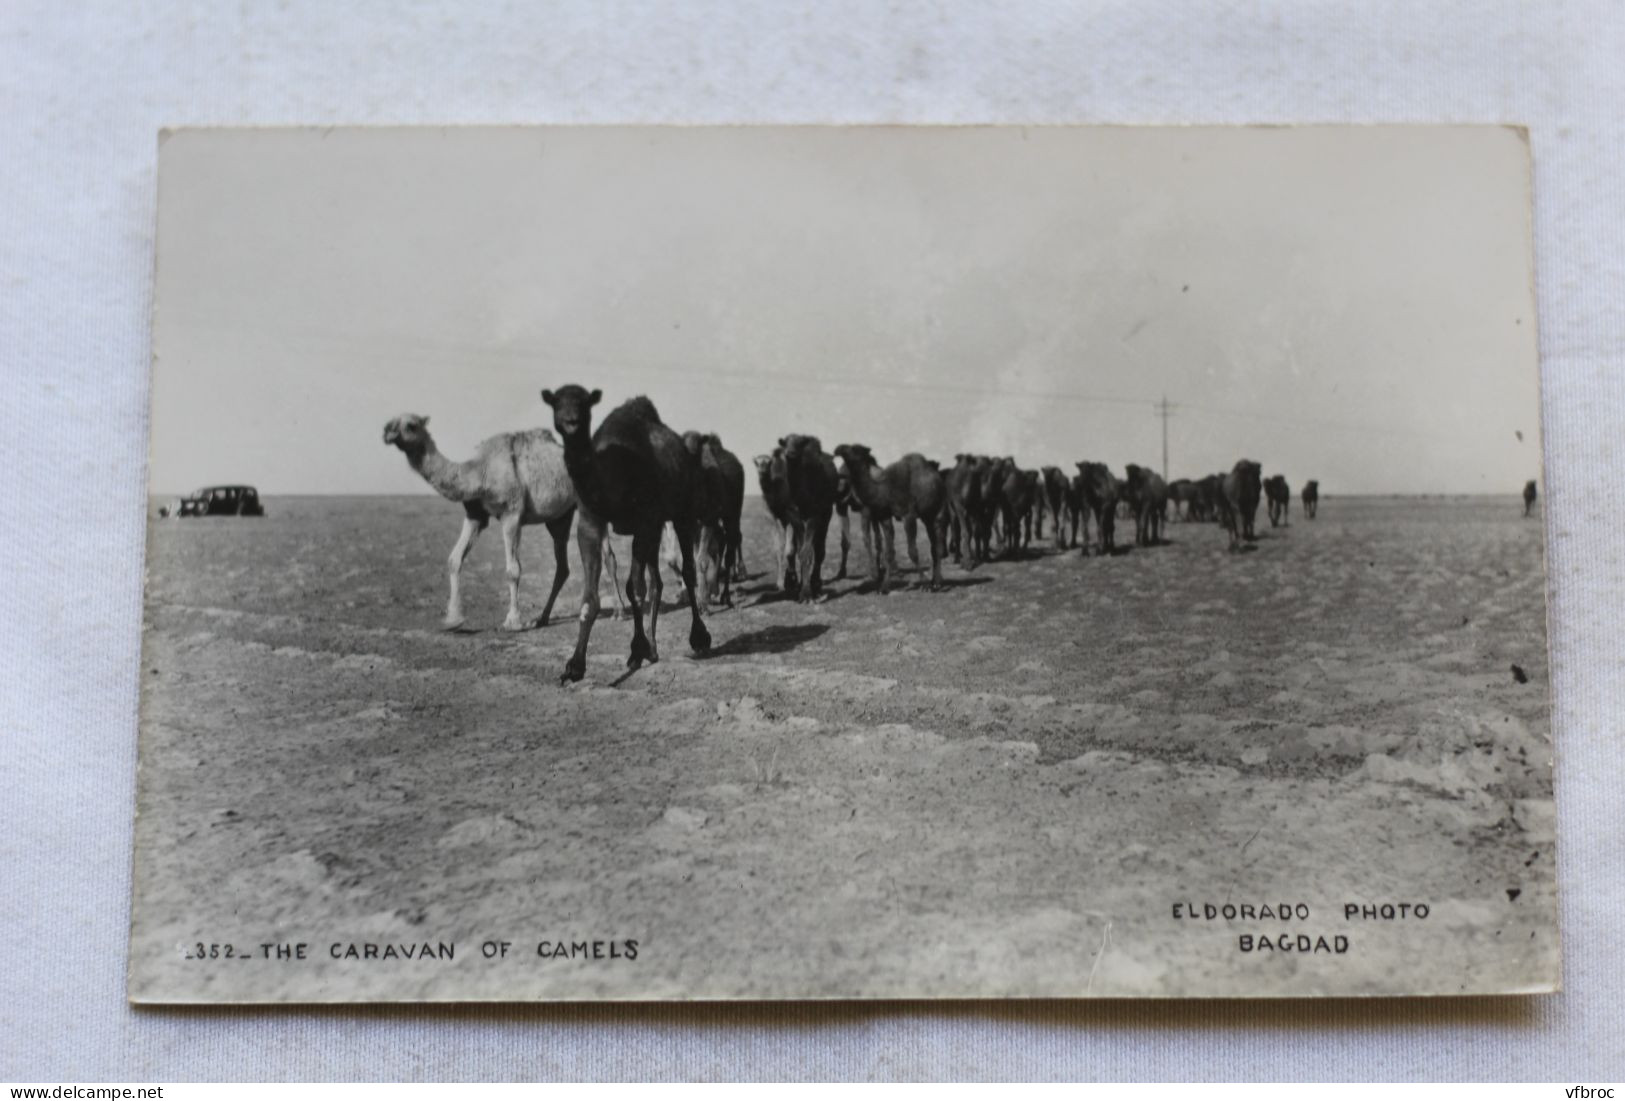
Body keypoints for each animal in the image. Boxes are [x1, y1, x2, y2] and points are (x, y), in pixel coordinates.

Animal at [383, 413, 613, 632]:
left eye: (411, 425)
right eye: (392, 420)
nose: (387, 432)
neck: (479, 472)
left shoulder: (511, 513)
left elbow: (513, 570)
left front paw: (513, 621)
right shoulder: (475, 515)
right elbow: (454, 559)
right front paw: (453, 619)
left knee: (606, 554)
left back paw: (616, 612)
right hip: (559, 518)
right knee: (563, 566)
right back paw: (542, 619)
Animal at [541, 386, 710, 682]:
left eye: (584, 403)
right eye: (556, 403)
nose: (571, 421)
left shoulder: (644, 521)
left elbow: (635, 588)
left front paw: (636, 650)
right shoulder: (590, 521)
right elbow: (591, 597)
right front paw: (575, 666)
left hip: (682, 512)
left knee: (687, 571)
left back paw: (699, 638)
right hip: (657, 526)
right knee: (657, 582)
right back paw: (653, 649)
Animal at [833, 443, 946, 593]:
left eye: (854, 449)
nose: (838, 449)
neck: (886, 489)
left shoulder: (908, 515)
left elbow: (912, 551)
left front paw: (924, 583)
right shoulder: (885, 516)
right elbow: (889, 552)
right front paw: (884, 587)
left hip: (938, 510)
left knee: (938, 544)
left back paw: (937, 582)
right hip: (926, 516)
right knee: (933, 545)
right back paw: (935, 580)